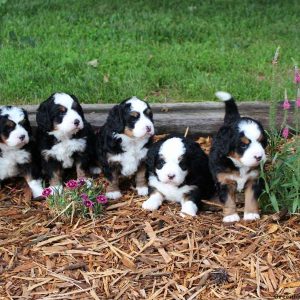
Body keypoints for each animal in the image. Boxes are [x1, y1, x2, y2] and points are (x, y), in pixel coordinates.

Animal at [209, 91, 268, 223]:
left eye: (261, 142)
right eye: (243, 145)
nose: (259, 157)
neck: (240, 165)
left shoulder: (253, 179)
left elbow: (251, 198)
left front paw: (251, 214)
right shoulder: (224, 181)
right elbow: (229, 200)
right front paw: (230, 216)